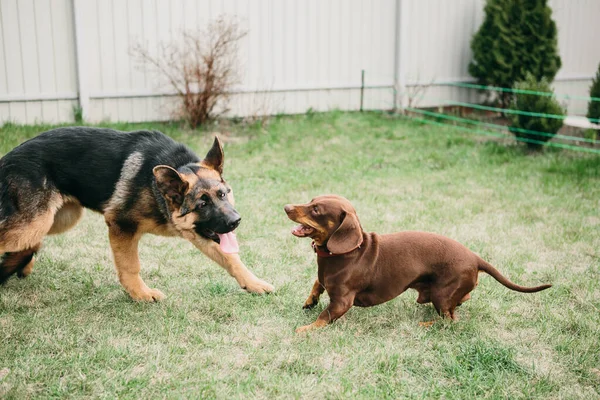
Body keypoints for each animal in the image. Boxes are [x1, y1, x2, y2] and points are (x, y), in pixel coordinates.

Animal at [0, 128, 274, 300]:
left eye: (223, 194)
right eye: (202, 205)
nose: (235, 221)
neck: (157, 188)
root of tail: (7, 158)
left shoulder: (201, 234)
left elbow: (232, 259)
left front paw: (253, 283)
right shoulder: (121, 225)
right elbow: (130, 266)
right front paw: (141, 294)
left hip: (60, 218)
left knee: (30, 244)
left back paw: (22, 264)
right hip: (35, 222)